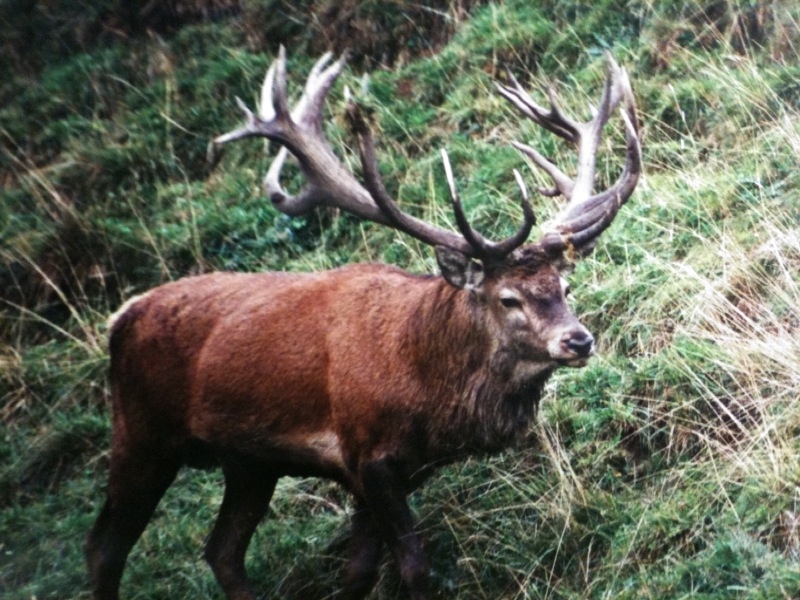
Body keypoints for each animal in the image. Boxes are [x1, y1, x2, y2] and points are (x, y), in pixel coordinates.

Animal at [85, 47, 640, 600]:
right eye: (508, 298)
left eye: (564, 287)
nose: (578, 340)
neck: (427, 388)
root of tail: (120, 320)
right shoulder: (366, 452)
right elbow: (414, 568)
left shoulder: (393, 470)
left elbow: (357, 573)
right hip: (141, 431)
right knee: (104, 547)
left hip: (248, 463)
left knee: (221, 550)